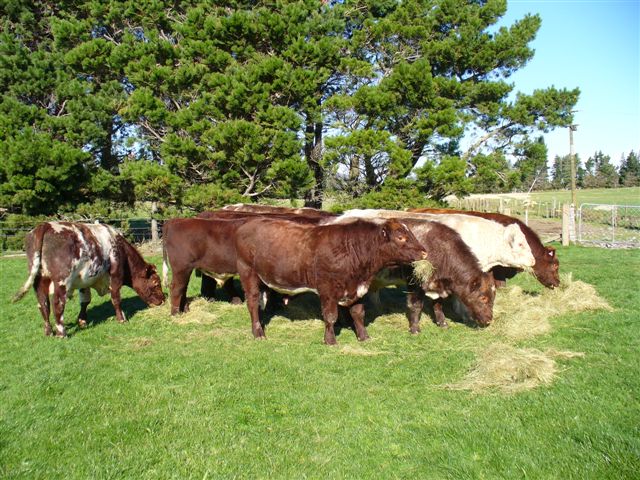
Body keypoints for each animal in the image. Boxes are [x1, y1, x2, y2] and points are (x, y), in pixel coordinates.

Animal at [13, 222, 165, 337]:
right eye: (156, 283)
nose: (163, 300)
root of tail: (45, 225)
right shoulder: (115, 277)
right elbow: (116, 298)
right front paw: (121, 319)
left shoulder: (84, 281)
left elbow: (85, 301)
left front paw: (82, 320)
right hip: (62, 281)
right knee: (57, 304)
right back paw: (62, 333)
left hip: (39, 281)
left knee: (43, 304)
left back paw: (49, 332)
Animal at [233, 217, 428, 344]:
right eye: (400, 237)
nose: (424, 252)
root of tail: (250, 223)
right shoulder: (327, 290)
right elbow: (330, 316)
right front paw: (330, 340)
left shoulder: (357, 289)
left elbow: (358, 313)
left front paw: (364, 337)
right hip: (247, 272)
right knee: (252, 302)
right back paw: (258, 333)